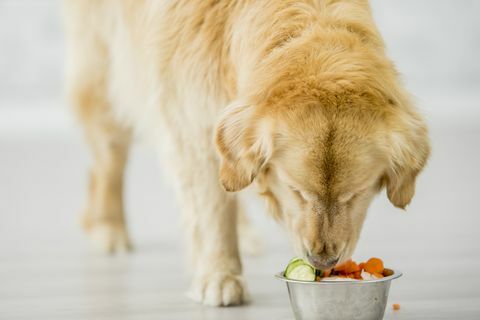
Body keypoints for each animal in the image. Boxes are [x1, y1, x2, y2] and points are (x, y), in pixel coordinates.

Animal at [64, 0, 432, 306]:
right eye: (296, 191)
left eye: (355, 195)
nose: (323, 262)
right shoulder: (194, 125)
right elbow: (212, 210)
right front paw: (220, 276)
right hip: (106, 75)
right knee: (108, 161)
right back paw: (109, 226)